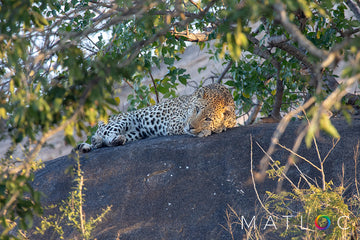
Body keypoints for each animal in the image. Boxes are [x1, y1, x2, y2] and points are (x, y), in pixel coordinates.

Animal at [76, 83, 238, 153]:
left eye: (207, 119)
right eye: (197, 109)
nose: (191, 126)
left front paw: (218, 127)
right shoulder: (174, 123)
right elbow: (182, 127)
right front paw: (205, 131)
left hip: (136, 133)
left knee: (104, 142)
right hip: (124, 119)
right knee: (106, 136)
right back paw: (103, 140)